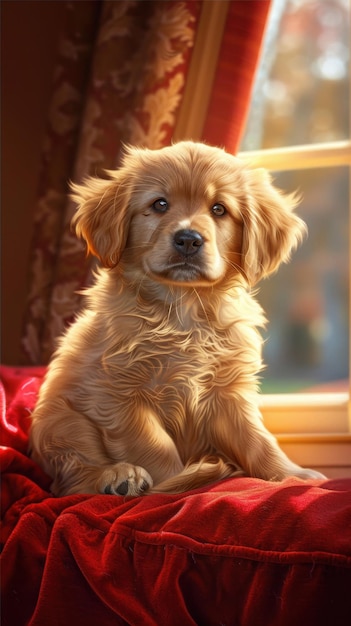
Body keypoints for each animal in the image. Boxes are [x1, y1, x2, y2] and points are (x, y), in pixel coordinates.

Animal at [30, 140, 328, 492]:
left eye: (219, 209)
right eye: (160, 204)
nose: (188, 239)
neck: (184, 309)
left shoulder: (229, 394)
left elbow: (257, 440)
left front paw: (291, 474)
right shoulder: (117, 394)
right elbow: (154, 445)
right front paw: (173, 483)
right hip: (62, 422)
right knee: (73, 477)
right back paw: (117, 476)